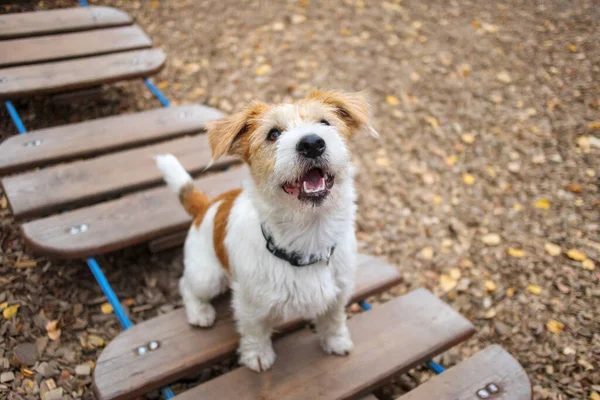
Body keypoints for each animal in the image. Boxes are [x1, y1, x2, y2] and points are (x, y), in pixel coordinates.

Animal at [157, 90, 378, 372]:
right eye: (273, 134)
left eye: (325, 123)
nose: (312, 143)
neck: (309, 235)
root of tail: (206, 206)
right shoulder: (250, 304)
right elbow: (255, 331)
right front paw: (258, 356)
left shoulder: (338, 293)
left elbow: (334, 320)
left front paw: (336, 342)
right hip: (207, 276)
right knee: (186, 285)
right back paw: (199, 312)